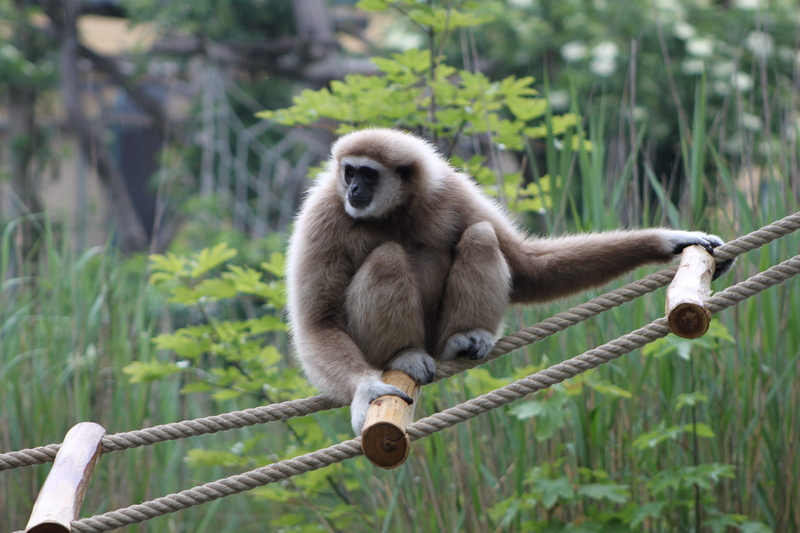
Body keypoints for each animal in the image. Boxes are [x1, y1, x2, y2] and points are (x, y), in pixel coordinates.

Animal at [286, 128, 733, 435]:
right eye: (349, 173)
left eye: (367, 174)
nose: (354, 188)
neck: (394, 211)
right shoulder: (325, 212)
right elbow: (318, 323)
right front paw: (365, 391)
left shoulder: (451, 189)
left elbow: (527, 266)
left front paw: (671, 241)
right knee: (387, 257)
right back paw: (403, 355)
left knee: (481, 235)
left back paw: (464, 338)